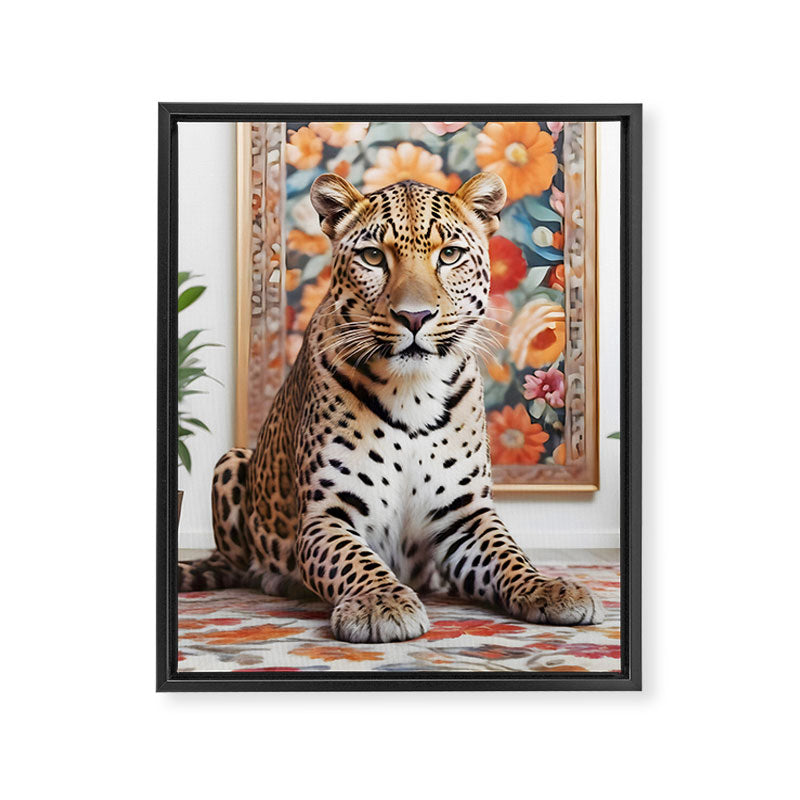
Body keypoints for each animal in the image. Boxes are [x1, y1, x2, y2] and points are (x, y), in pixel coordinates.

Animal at [179, 171, 604, 643]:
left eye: (450, 255)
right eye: (372, 256)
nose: (414, 317)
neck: (414, 391)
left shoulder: (465, 515)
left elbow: (510, 554)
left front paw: (549, 587)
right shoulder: (326, 514)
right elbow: (354, 560)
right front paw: (380, 603)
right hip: (231, 461)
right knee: (239, 564)